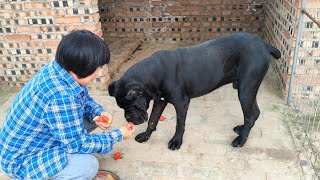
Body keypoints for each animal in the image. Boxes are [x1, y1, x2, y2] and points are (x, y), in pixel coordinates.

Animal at [108, 32, 280, 150]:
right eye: (121, 107)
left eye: (132, 105)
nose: (128, 118)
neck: (154, 75)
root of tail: (264, 44)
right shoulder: (160, 101)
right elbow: (152, 120)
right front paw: (146, 135)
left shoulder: (181, 103)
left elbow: (179, 124)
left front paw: (176, 141)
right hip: (247, 88)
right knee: (255, 112)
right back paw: (242, 129)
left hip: (245, 90)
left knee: (249, 115)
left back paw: (241, 139)